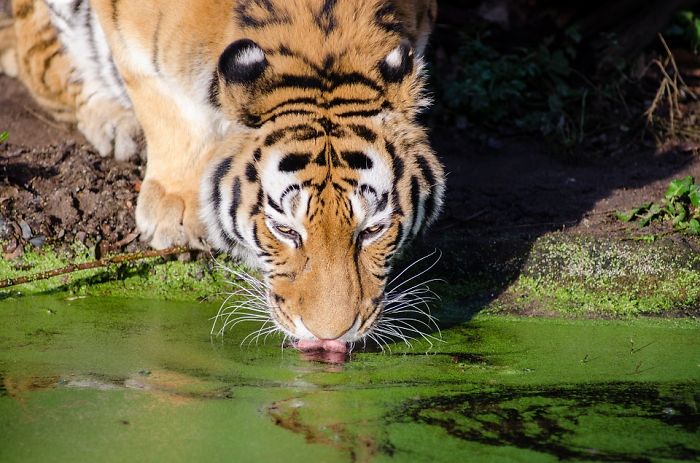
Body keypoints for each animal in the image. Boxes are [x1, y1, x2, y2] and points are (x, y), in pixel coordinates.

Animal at [3, 0, 445, 352]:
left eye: (372, 230)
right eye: (285, 231)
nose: (329, 336)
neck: (320, 48)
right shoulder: (132, 37)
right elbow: (161, 102)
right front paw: (176, 209)